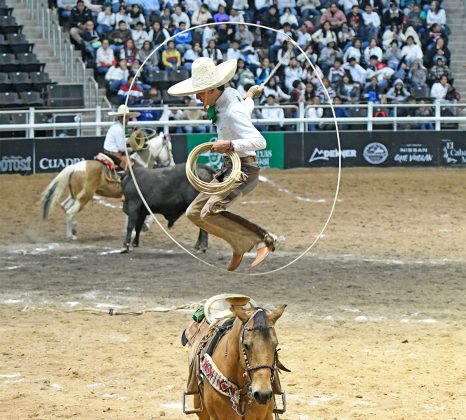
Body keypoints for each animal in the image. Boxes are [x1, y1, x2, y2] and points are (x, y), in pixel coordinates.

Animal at [39, 131, 175, 240]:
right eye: (169, 149)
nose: (172, 165)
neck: (140, 164)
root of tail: (75, 167)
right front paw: (143, 227)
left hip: (75, 196)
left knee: (65, 207)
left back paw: (73, 230)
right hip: (84, 197)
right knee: (70, 212)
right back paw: (70, 235)